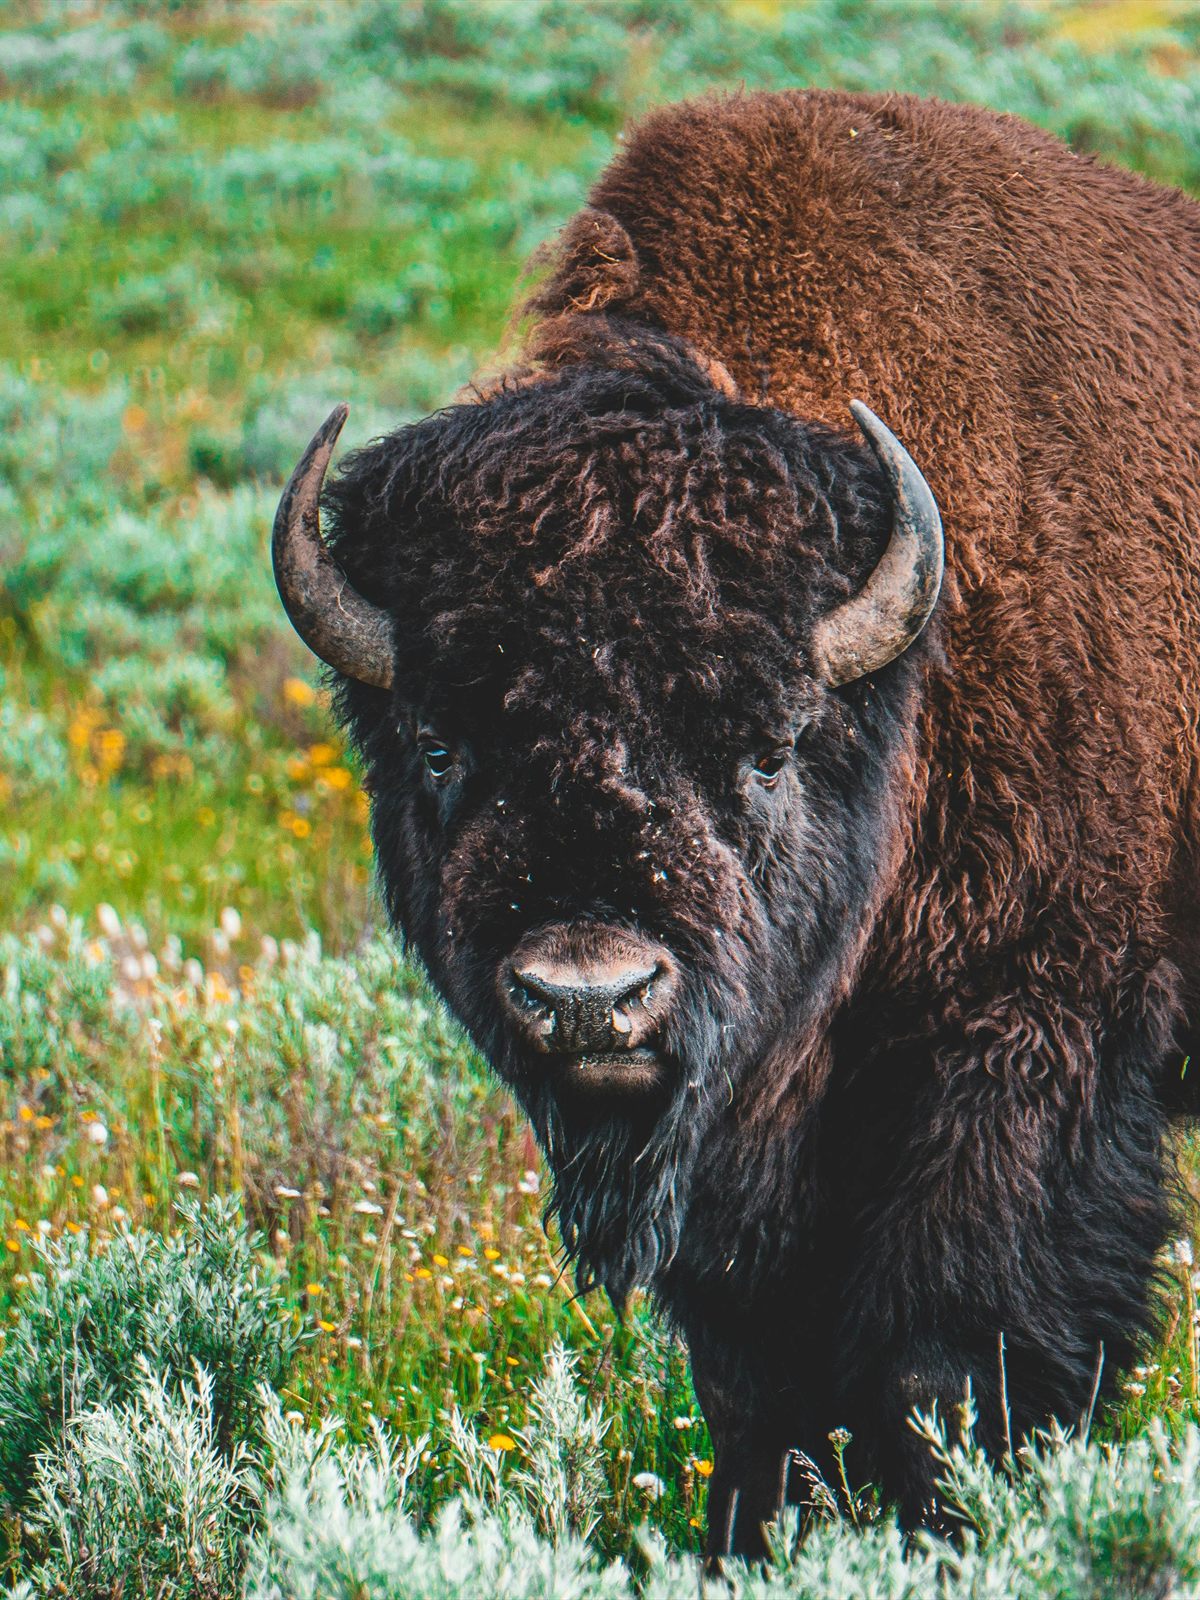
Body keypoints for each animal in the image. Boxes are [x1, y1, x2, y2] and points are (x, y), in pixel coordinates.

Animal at [271, 91, 1200, 1556]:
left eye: (764, 750)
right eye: (439, 745)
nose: (590, 999)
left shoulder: (1025, 1048)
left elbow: (950, 1365)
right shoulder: (745, 1153)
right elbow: (760, 1379)